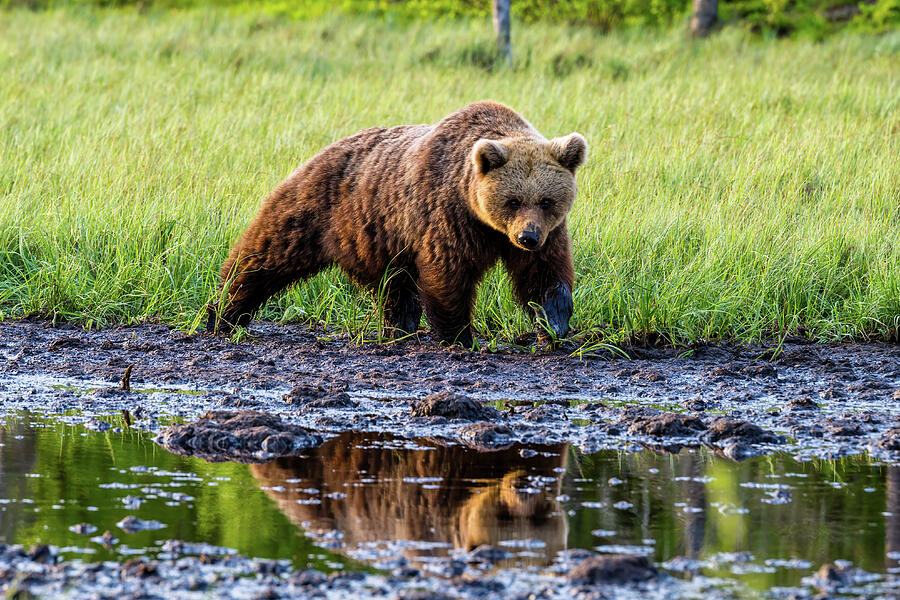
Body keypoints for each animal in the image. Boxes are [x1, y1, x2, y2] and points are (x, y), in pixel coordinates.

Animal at [211, 100, 592, 344]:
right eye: (512, 200)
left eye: (546, 200)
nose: (527, 237)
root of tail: (325, 150)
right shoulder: (449, 213)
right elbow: (448, 272)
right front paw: (460, 337)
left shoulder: (548, 232)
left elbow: (544, 274)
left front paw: (554, 323)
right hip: (319, 208)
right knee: (265, 254)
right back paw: (225, 311)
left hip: (376, 236)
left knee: (393, 286)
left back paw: (401, 326)